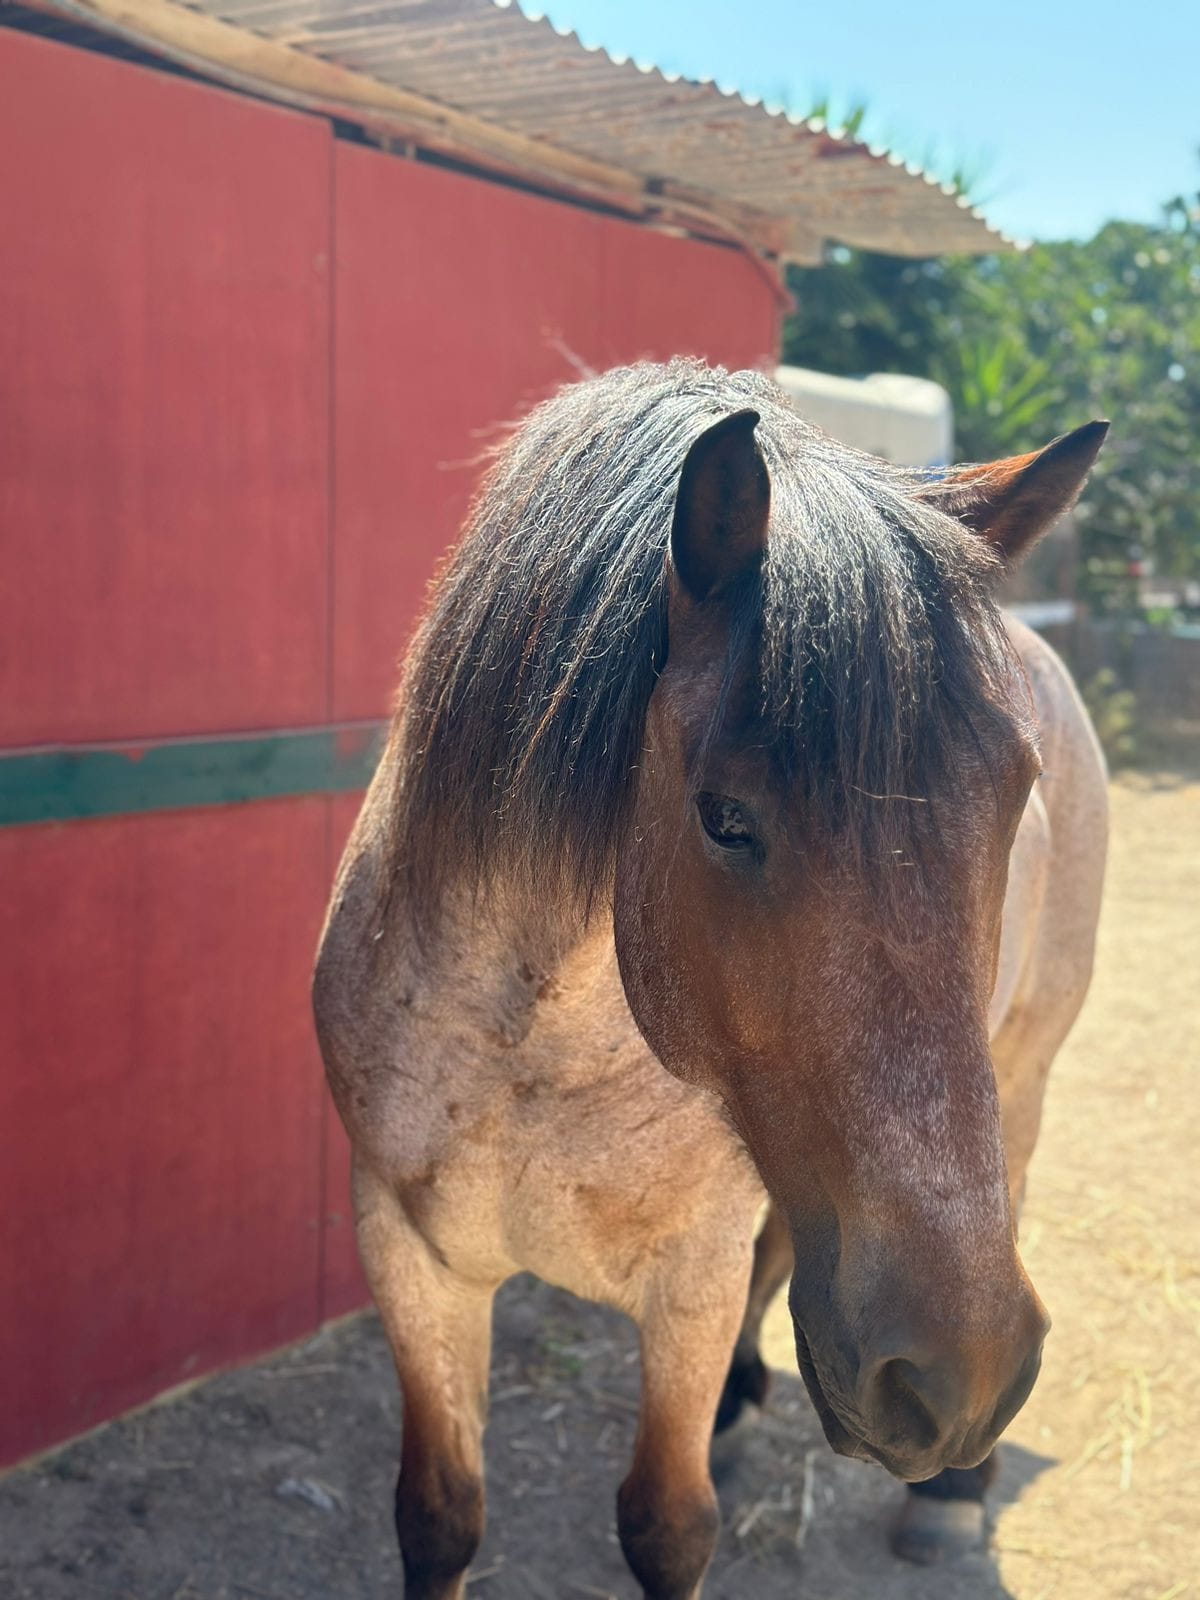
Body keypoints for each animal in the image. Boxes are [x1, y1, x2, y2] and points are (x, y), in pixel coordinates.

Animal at [313, 358, 1108, 1599]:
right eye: (726, 819)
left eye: (1014, 791)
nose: (958, 1378)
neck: (528, 1052)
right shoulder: (410, 1254)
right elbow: (438, 1514)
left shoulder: (689, 1278)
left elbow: (665, 1525)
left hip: (1014, 1088)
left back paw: (946, 1498)